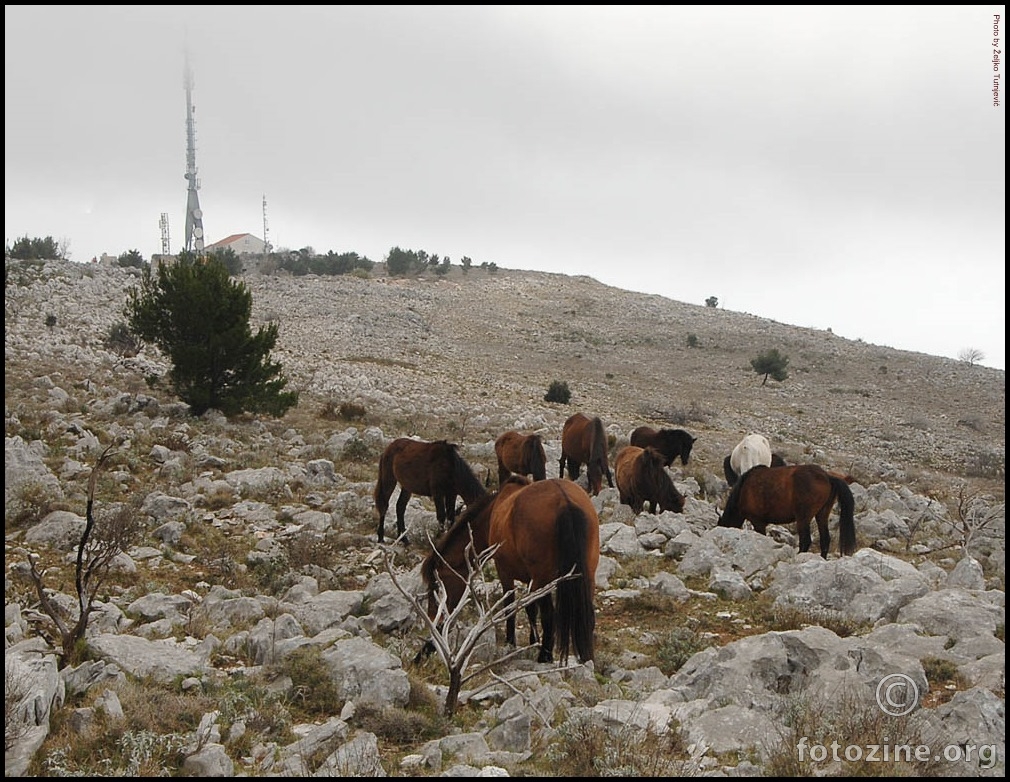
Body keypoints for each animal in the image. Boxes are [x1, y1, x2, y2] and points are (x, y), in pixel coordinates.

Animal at [414, 476, 593, 666]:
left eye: (436, 587)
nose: (435, 622)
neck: (492, 515)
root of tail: (564, 500)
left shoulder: (505, 572)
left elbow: (510, 606)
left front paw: (510, 642)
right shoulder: (529, 579)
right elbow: (530, 608)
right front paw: (533, 640)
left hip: (543, 579)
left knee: (548, 615)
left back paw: (545, 656)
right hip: (584, 575)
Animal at [715, 464, 856, 557]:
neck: (743, 490)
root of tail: (827, 477)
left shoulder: (758, 522)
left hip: (803, 517)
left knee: (806, 540)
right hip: (822, 514)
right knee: (825, 539)